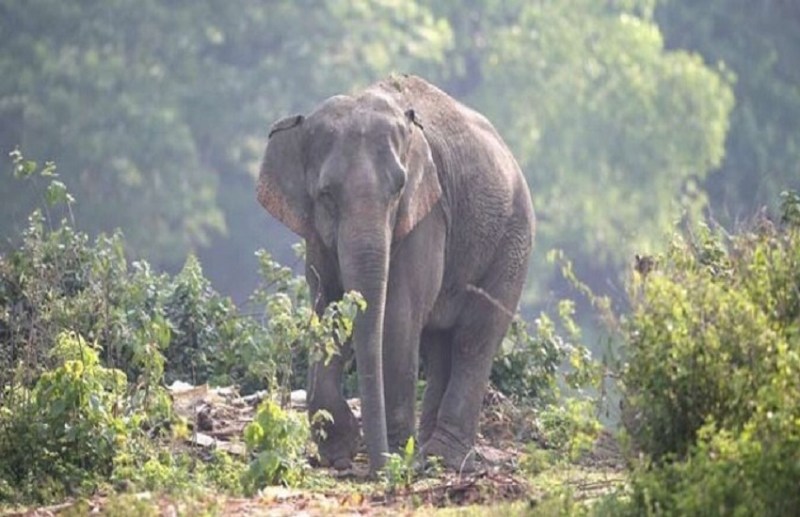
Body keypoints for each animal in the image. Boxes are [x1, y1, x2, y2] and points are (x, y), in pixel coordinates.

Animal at [257, 74, 534, 474]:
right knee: (439, 345)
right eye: (326, 195)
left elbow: (398, 316)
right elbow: (327, 308)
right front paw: (339, 452)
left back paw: (442, 457)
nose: (372, 467)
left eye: (398, 190)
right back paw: (428, 454)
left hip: (513, 242)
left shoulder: (427, 214)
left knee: (474, 340)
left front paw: (396, 454)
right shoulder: (317, 234)